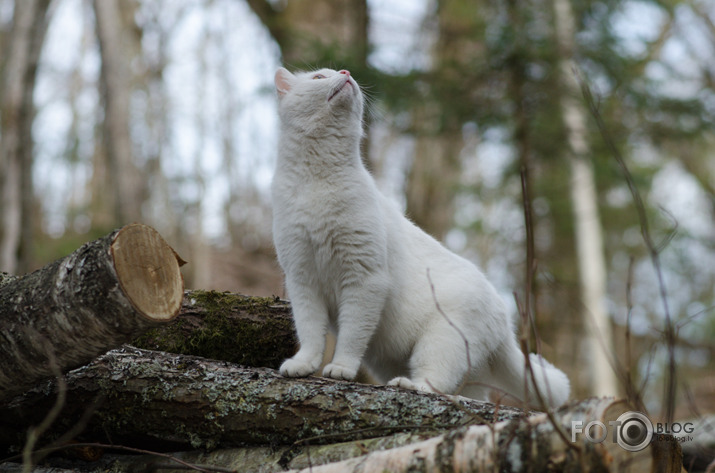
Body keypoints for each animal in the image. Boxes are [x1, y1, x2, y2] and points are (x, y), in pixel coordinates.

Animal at [270, 67, 572, 410]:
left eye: (336, 73)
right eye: (319, 76)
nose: (346, 73)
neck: (317, 179)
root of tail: (502, 316)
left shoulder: (365, 278)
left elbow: (351, 336)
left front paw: (341, 368)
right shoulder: (302, 279)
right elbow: (309, 331)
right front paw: (303, 364)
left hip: (441, 341)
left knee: (436, 382)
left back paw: (409, 385)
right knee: (469, 393)